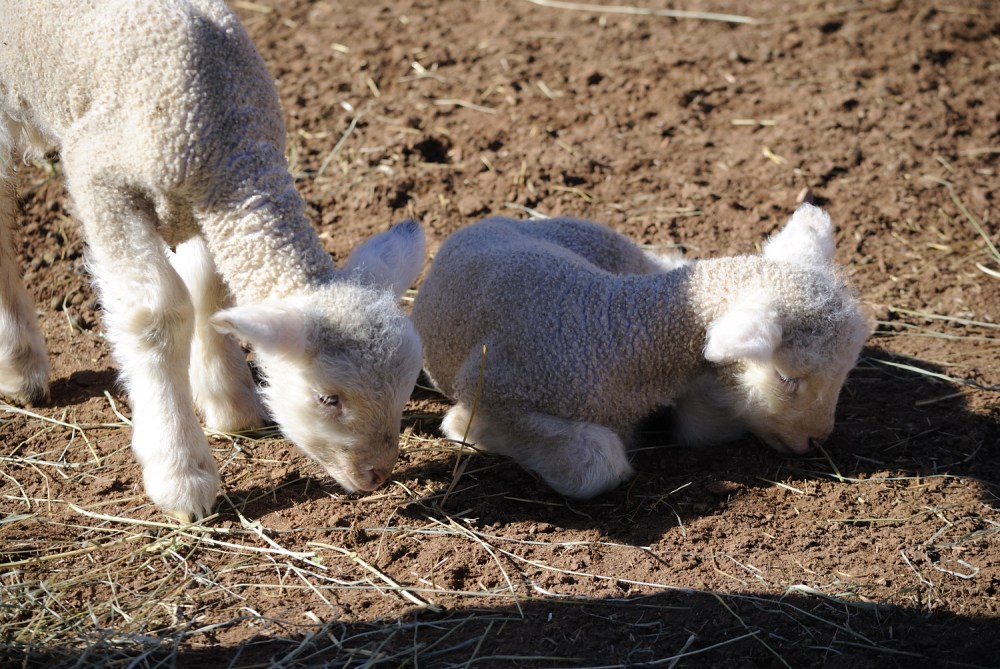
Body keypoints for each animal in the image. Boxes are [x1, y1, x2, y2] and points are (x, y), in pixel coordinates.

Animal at [0, 0, 425, 521]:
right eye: (327, 398)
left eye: (406, 388)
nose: (377, 475)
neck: (225, 130)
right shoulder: (101, 177)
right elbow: (158, 315)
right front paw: (182, 475)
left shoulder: (206, 202)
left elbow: (210, 289)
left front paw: (230, 403)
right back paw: (19, 362)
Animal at [410, 205, 871, 499]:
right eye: (787, 378)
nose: (817, 439)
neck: (618, 327)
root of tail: (495, 220)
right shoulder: (493, 386)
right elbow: (595, 465)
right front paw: (465, 426)